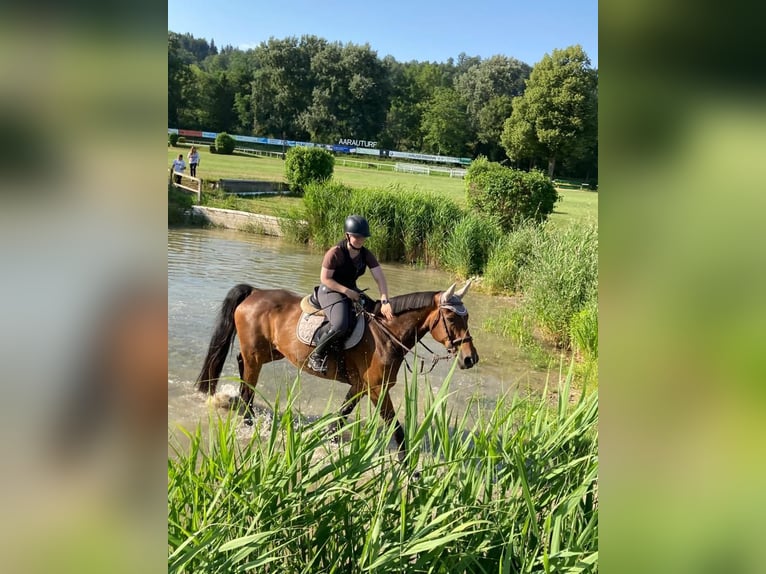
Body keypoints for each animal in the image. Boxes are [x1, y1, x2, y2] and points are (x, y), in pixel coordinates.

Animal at [195, 282, 480, 462]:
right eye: (452, 319)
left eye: (466, 318)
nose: (470, 358)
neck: (386, 333)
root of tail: (255, 292)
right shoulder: (377, 390)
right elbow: (396, 428)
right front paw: (408, 464)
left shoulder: (360, 386)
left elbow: (342, 414)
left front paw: (327, 438)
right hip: (257, 355)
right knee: (248, 386)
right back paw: (249, 422)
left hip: (270, 352)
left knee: (242, 366)